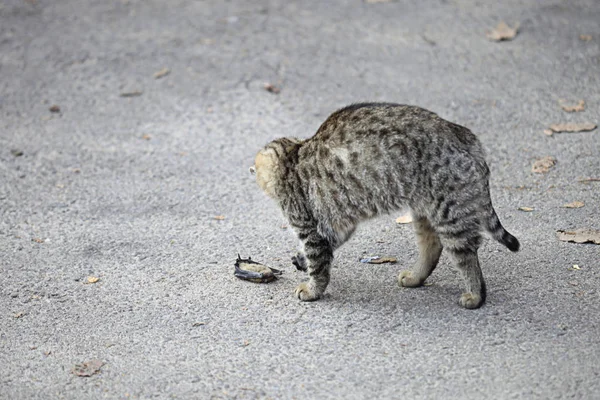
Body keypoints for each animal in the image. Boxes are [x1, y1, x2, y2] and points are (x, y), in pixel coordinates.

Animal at [251, 103, 516, 310]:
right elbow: (326, 248)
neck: (293, 156)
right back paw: (416, 277)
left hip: (449, 215)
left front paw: (313, 288)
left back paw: (475, 295)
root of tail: (464, 135)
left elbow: (318, 264)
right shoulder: (337, 224)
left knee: (467, 256)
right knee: (432, 246)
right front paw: (301, 260)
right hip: (425, 210)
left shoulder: (310, 227)